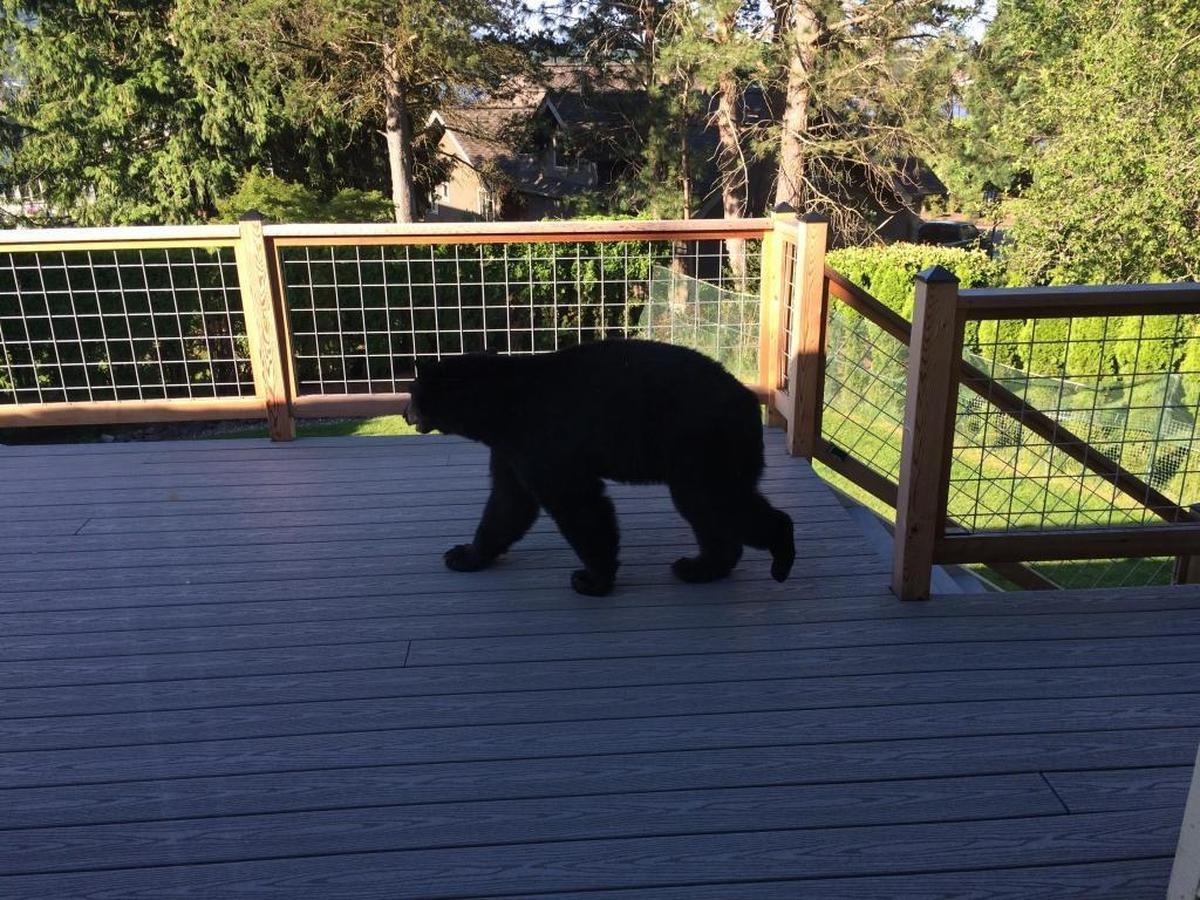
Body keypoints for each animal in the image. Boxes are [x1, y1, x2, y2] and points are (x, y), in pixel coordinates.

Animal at [404, 339, 795, 596]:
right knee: (713, 511)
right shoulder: (512, 450)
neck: (500, 408)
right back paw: (699, 566)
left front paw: (592, 579)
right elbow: (507, 504)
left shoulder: (543, 440)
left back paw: (779, 556)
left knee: (714, 503)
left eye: (411, 392)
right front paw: (464, 555)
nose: (406, 413)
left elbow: (579, 505)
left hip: (703, 447)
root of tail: (749, 402)